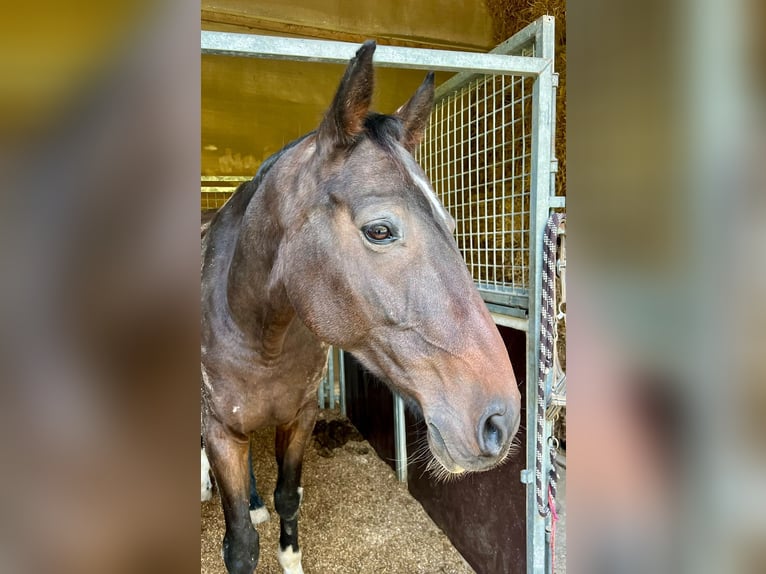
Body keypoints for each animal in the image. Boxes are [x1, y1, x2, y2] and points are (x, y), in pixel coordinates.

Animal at [201, 40, 521, 574]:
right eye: (380, 230)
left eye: (451, 224)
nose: (501, 422)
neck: (259, 335)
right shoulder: (221, 431)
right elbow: (240, 544)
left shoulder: (299, 417)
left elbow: (289, 496)